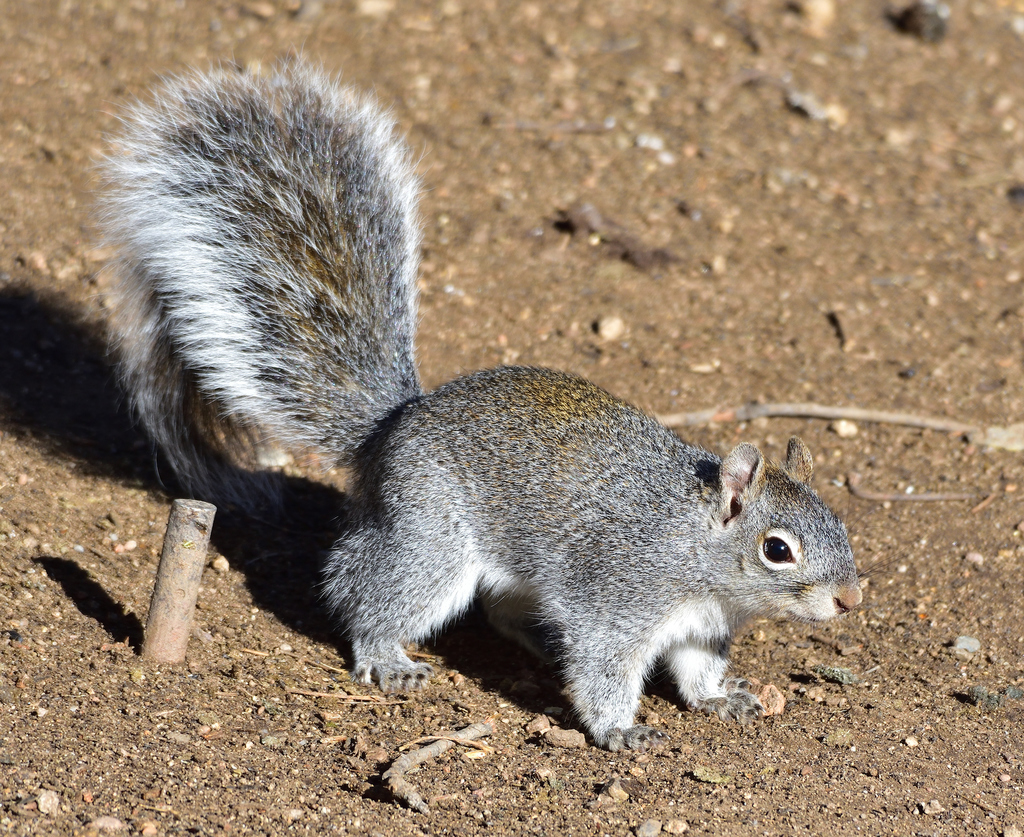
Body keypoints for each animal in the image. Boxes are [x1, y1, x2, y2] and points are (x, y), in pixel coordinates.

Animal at [99, 60, 860, 749]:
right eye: (777, 549)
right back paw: (386, 654)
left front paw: (720, 699)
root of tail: (392, 426)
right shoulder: (619, 597)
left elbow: (698, 670)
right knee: (366, 590)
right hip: (431, 538)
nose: (850, 599)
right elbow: (603, 665)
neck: (698, 550)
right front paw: (619, 728)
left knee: (497, 610)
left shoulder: (703, 628)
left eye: (838, 521)